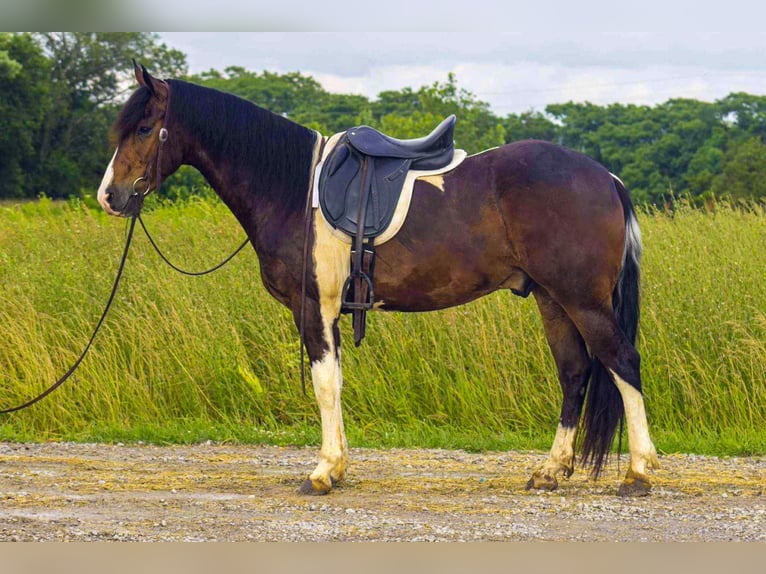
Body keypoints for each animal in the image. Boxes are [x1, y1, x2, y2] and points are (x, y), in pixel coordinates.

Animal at [97, 63, 659, 497]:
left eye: (144, 128)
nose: (111, 196)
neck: (291, 187)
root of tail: (606, 178)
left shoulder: (313, 307)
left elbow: (324, 383)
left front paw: (323, 473)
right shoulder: (329, 312)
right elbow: (336, 382)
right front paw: (338, 467)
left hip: (581, 300)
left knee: (622, 362)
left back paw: (637, 473)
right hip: (551, 299)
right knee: (575, 373)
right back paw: (550, 471)